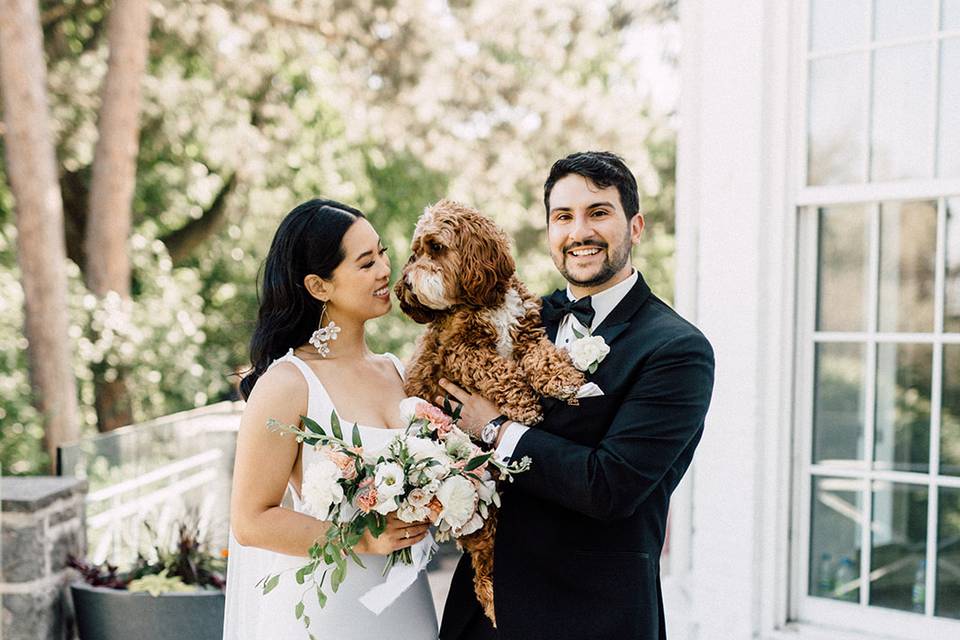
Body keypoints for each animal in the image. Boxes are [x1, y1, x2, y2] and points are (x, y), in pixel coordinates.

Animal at [392, 198, 584, 624]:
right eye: (414, 253)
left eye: (436, 248)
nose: (407, 283)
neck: (485, 301)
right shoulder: (458, 352)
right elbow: (499, 369)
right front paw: (523, 404)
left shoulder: (527, 333)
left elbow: (542, 357)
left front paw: (562, 377)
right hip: (476, 511)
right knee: (483, 558)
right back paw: (495, 602)